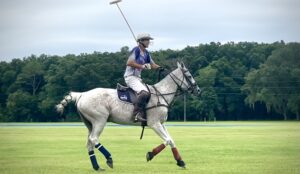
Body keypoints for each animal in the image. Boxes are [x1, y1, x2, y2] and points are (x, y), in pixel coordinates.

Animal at [56, 61, 202, 171]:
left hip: (89, 124)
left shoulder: (161, 123)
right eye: (189, 75)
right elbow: (167, 140)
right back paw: (109, 159)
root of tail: (81, 94)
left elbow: (171, 140)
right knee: (94, 139)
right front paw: (150, 154)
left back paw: (97, 167)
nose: (198, 90)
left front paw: (181, 162)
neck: (161, 94)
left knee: (89, 143)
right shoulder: (154, 123)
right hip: (100, 120)